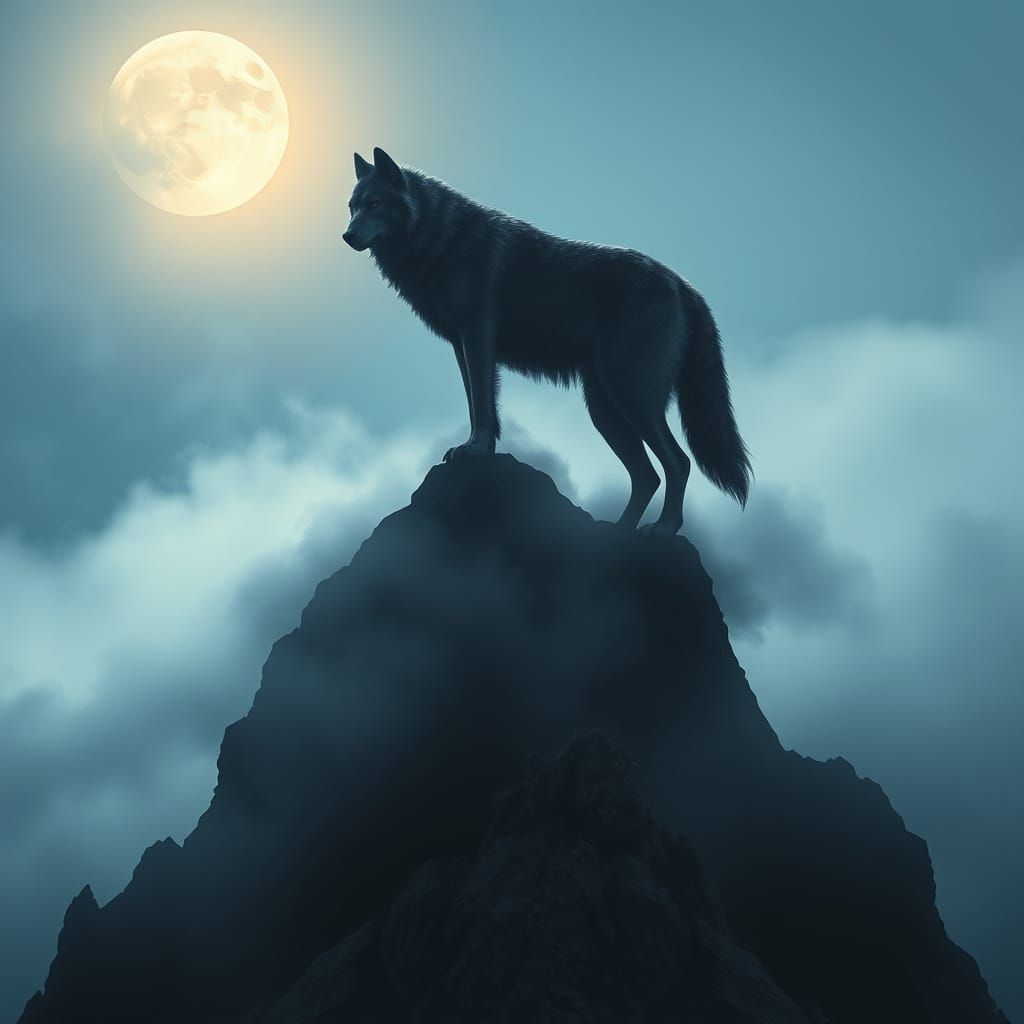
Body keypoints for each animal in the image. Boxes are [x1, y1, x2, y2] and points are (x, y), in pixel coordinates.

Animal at [343, 147, 752, 535]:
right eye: (352, 207)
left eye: (374, 204)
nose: (346, 236)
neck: (442, 238)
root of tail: (683, 283)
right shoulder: (462, 345)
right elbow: (476, 405)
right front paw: (476, 448)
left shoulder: (478, 336)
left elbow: (483, 406)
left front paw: (476, 450)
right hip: (607, 410)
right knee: (647, 476)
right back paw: (617, 533)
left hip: (632, 398)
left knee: (678, 462)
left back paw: (663, 529)